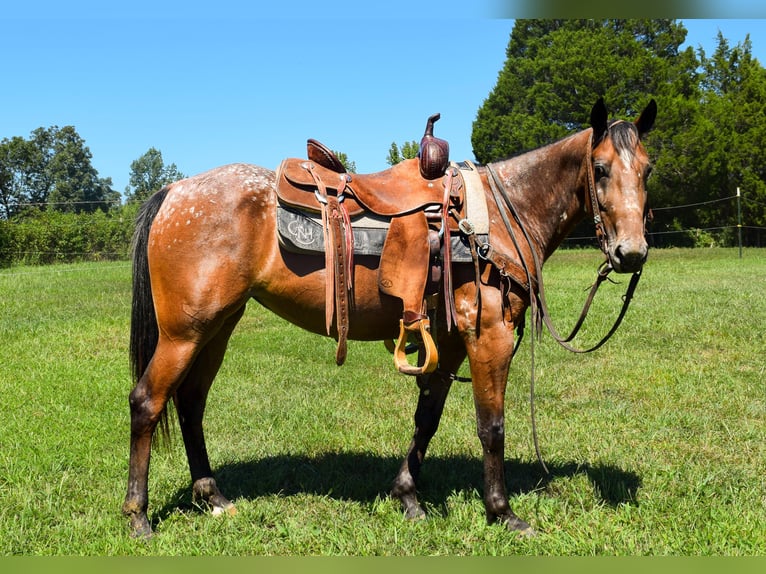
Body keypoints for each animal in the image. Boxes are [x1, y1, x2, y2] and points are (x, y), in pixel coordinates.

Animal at [123, 98, 656, 540]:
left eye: (647, 170)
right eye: (601, 168)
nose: (631, 253)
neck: (501, 218)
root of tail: (173, 191)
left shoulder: (449, 343)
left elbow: (427, 419)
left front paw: (407, 496)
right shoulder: (489, 337)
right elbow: (492, 427)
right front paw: (503, 512)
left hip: (217, 328)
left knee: (191, 403)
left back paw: (214, 498)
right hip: (183, 334)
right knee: (147, 402)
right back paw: (138, 517)